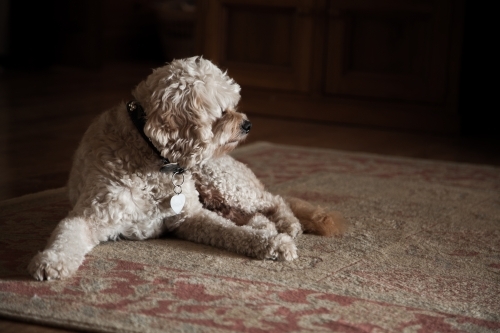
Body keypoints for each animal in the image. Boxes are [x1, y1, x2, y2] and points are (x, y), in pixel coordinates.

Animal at [28, 55, 344, 278]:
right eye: (222, 111)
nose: (248, 124)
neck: (153, 157)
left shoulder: (190, 216)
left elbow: (231, 232)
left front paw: (274, 243)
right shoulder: (90, 215)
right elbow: (66, 235)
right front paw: (52, 261)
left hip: (220, 179)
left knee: (274, 200)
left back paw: (287, 224)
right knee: (252, 213)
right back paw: (268, 226)